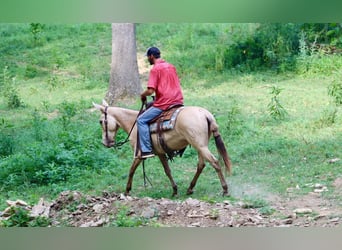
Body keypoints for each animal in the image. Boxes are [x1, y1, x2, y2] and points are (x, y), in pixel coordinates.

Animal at [93, 100, 232, 197]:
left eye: (100, 121)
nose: (105, 143)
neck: (134, 123)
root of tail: (206, 114)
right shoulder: (160, 153)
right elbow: (167, 170)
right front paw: (175, 190)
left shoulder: (139, 154)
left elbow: (131, 170)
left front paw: (127, 191)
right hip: (200, 146)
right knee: (201, 165)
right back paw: (190, 188)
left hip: (201, 146)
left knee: (215, 162)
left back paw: (225, 189)